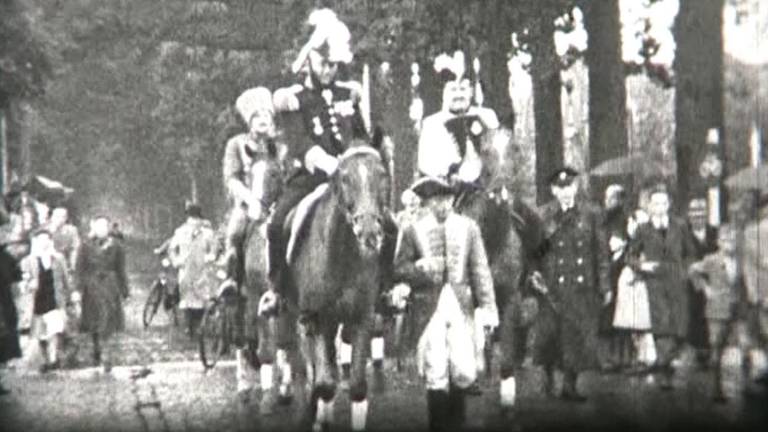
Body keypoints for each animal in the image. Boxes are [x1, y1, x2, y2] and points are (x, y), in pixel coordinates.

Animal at [288, 142, 396, 432]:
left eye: (382, 175)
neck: (344, 255)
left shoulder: (362, 319)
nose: (369, 232)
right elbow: (325, 384)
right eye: (345, 178)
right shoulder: (318, 319)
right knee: (307, 369)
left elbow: (357, 387)